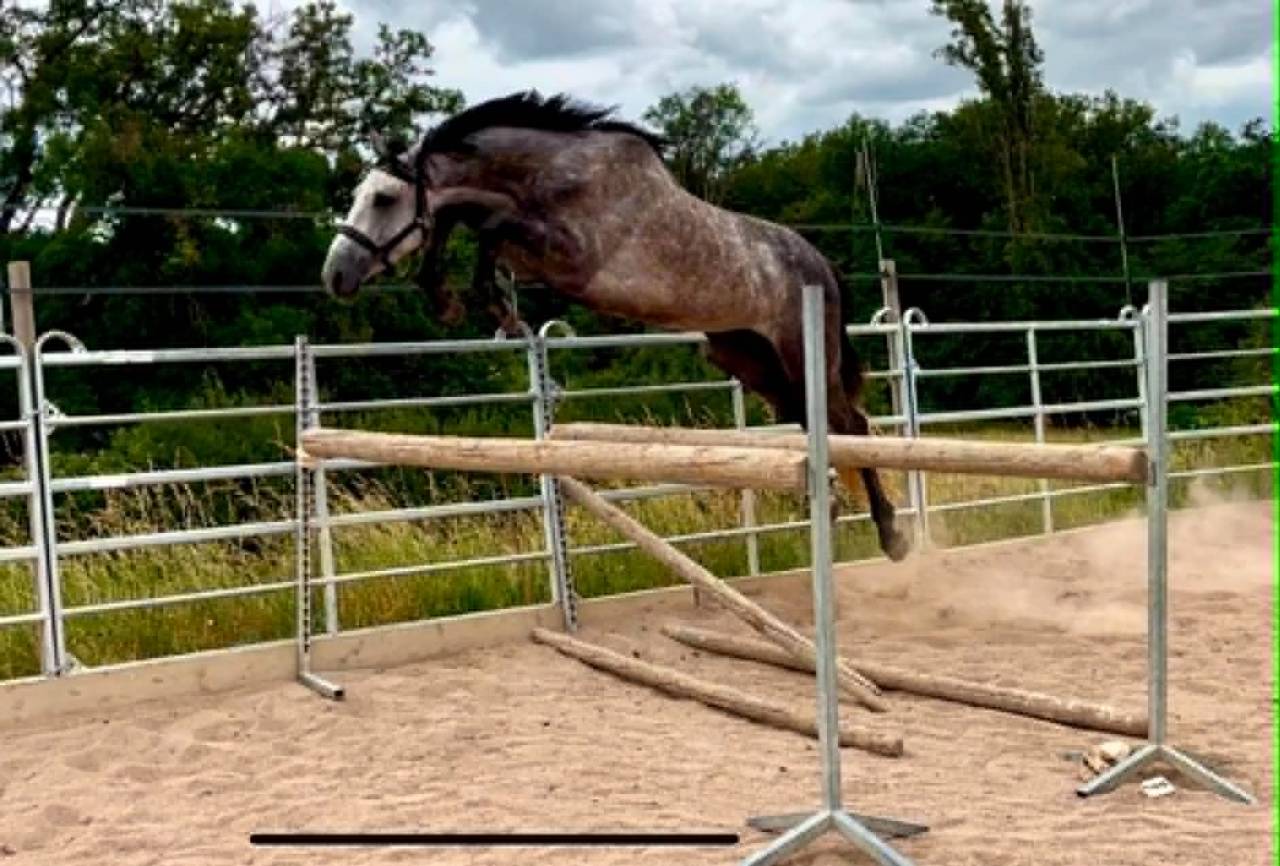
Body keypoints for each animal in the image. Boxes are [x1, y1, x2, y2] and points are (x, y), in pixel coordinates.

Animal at [320, 90, 910, 562]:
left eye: (384, 198)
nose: (335, 275)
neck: (551, 175)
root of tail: (820, 263)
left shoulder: (573, 259)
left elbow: (488, 228)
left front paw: (488, 306)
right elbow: (460, 220)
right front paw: (452, 298)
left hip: (801, 350)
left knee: (851, 424)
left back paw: (892, 536)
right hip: (750, 359)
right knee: (820, 425)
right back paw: (834, 514)